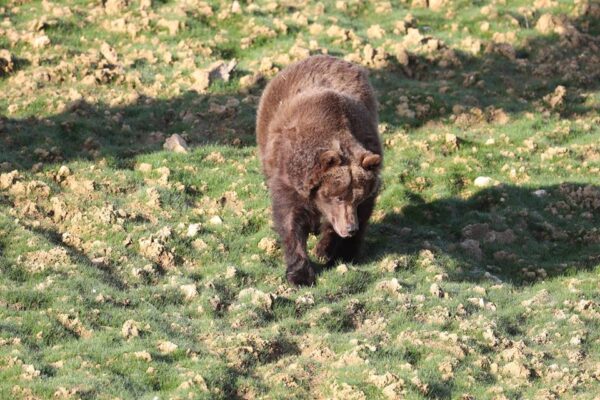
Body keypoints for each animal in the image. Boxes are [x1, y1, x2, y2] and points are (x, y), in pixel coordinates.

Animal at [255, 54, 382, 286]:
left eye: (357, 198)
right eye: (338, 196)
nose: (350, 229)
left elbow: (358, 215)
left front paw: (331, 250)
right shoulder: (289, 178)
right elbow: (290, 219)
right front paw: (301, 274)